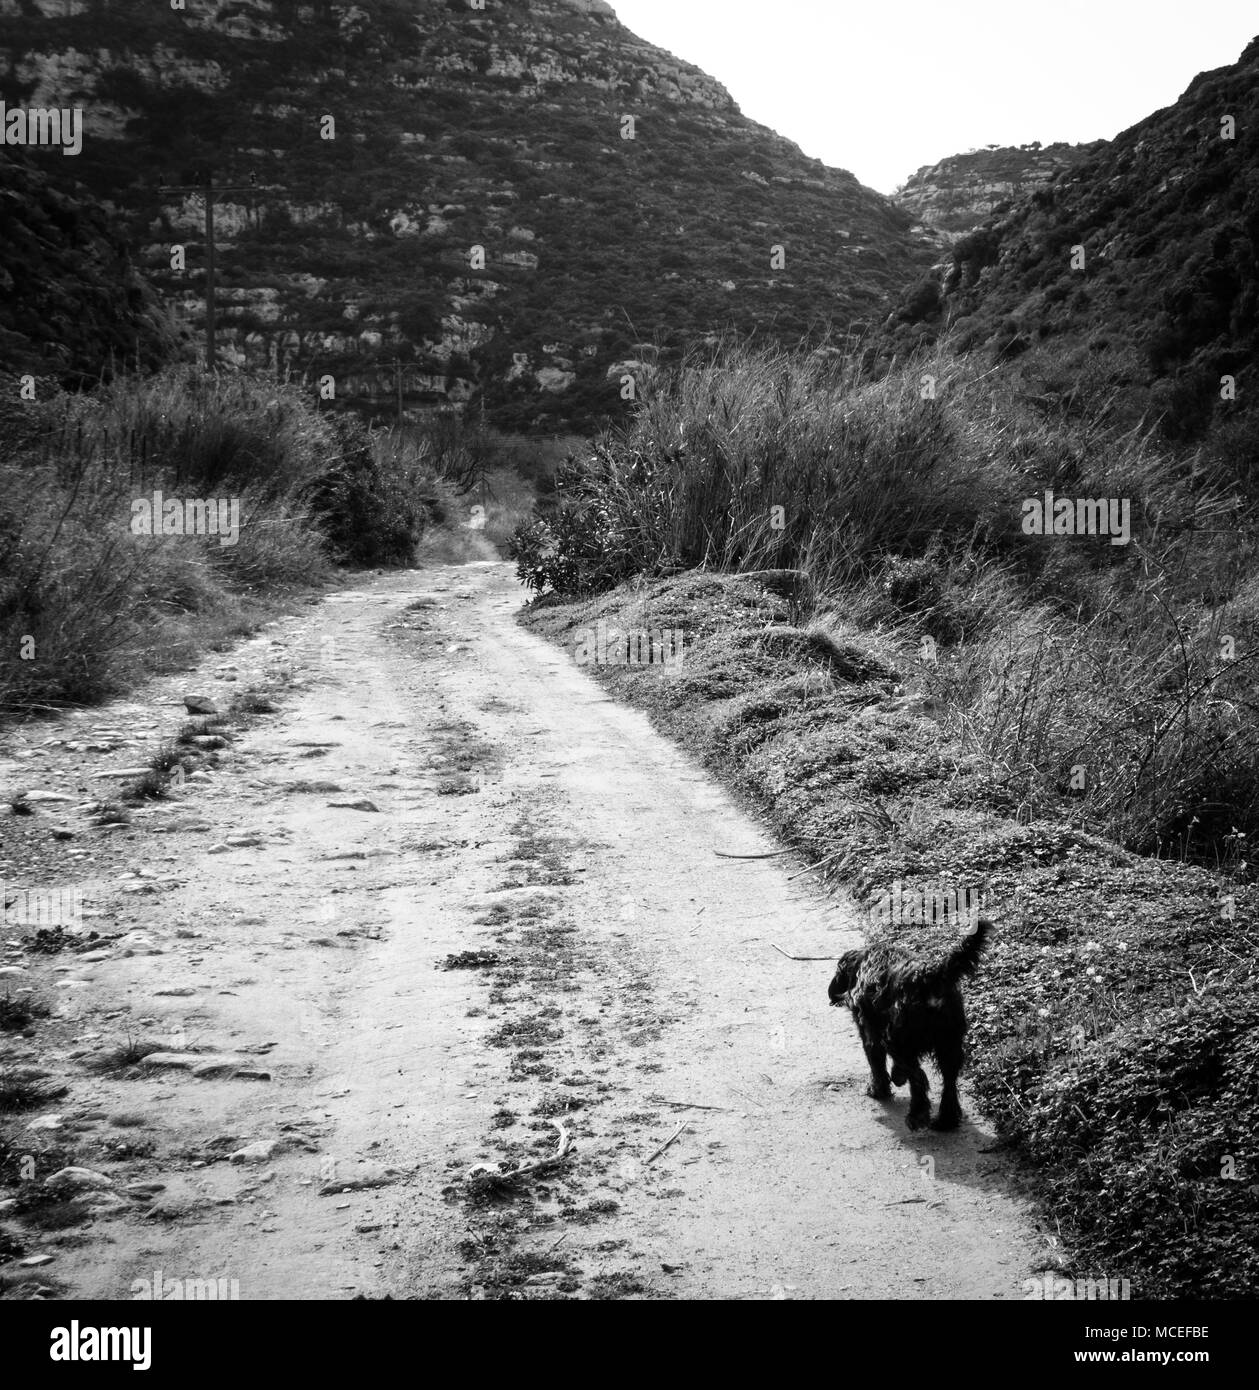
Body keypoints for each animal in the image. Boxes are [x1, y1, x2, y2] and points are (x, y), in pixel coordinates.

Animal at [822, 922, 989, 1128]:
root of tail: (930, 976)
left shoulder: (870, 1032)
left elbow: (876, 1063)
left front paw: (878, 1089)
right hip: (949, 1045)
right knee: (949, 1082)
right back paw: (945, 1120)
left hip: (899, 1041)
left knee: (918, 1077)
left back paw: (917, 1115)